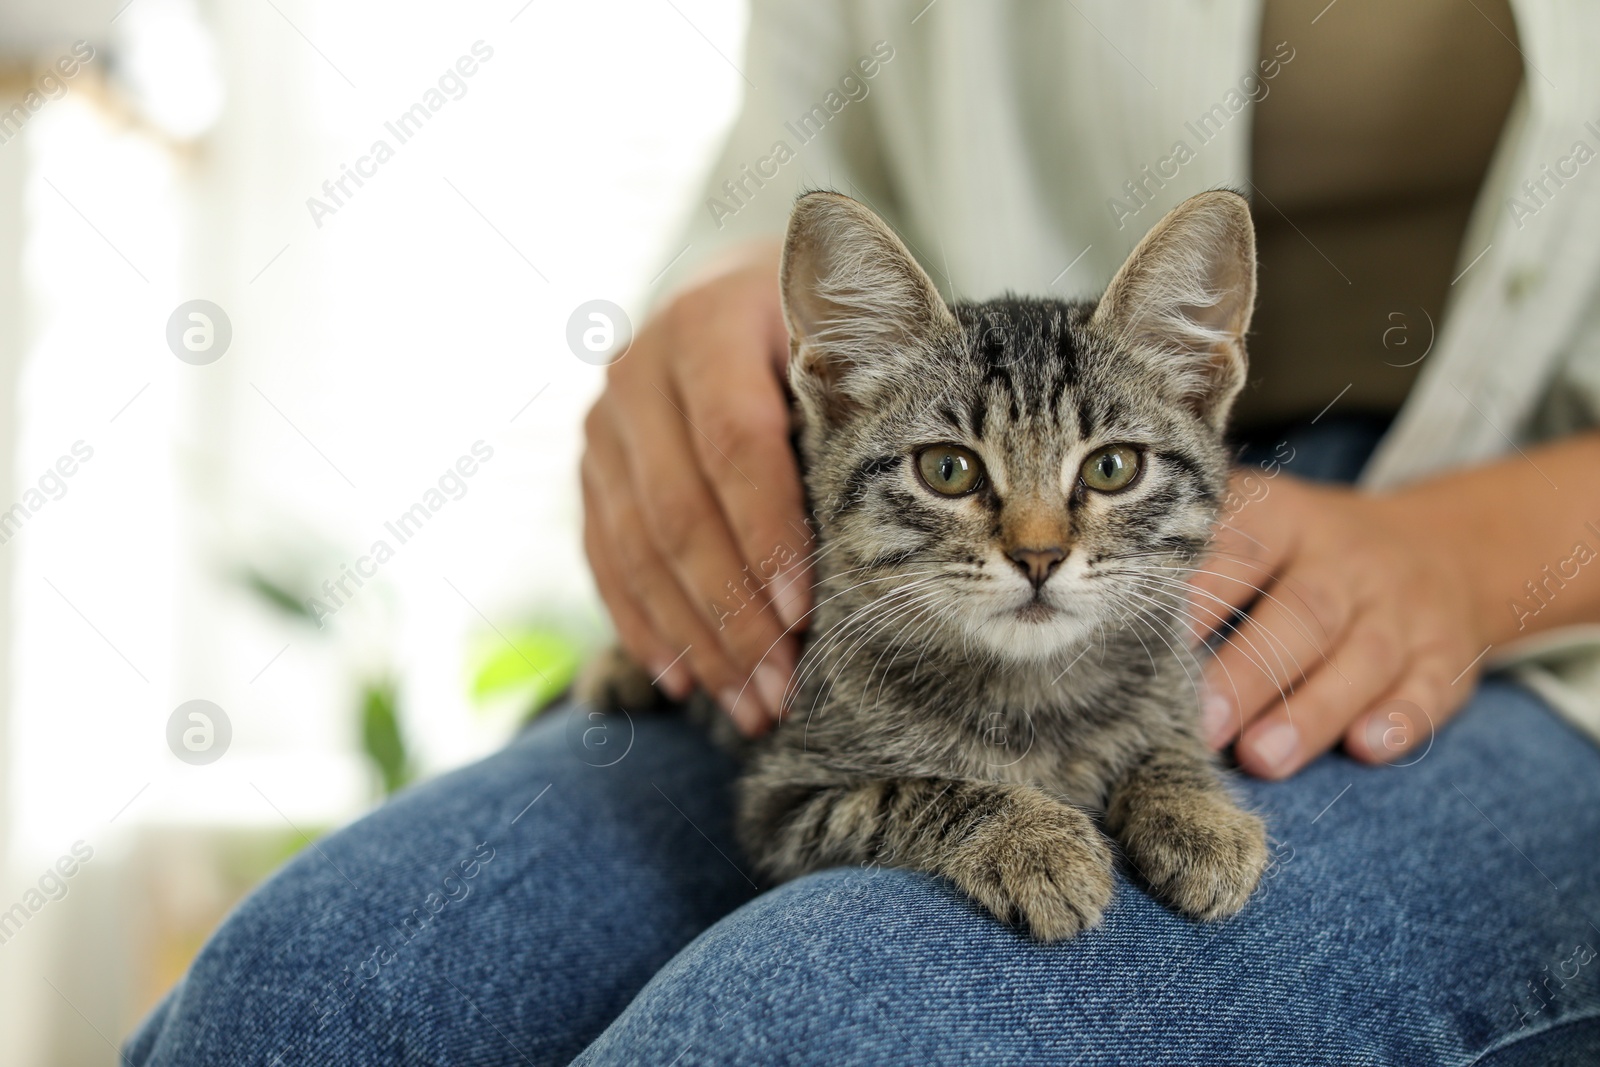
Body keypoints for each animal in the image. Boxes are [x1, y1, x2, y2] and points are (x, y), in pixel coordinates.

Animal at [588, 191, 1260, 940]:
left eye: (1112, 467)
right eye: (948, 469)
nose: (1038, 555)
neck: (1030, 690)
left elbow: (1170, 741)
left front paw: (1198, 811)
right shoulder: (784, 802)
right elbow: (910, 793)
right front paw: (1034, 838)